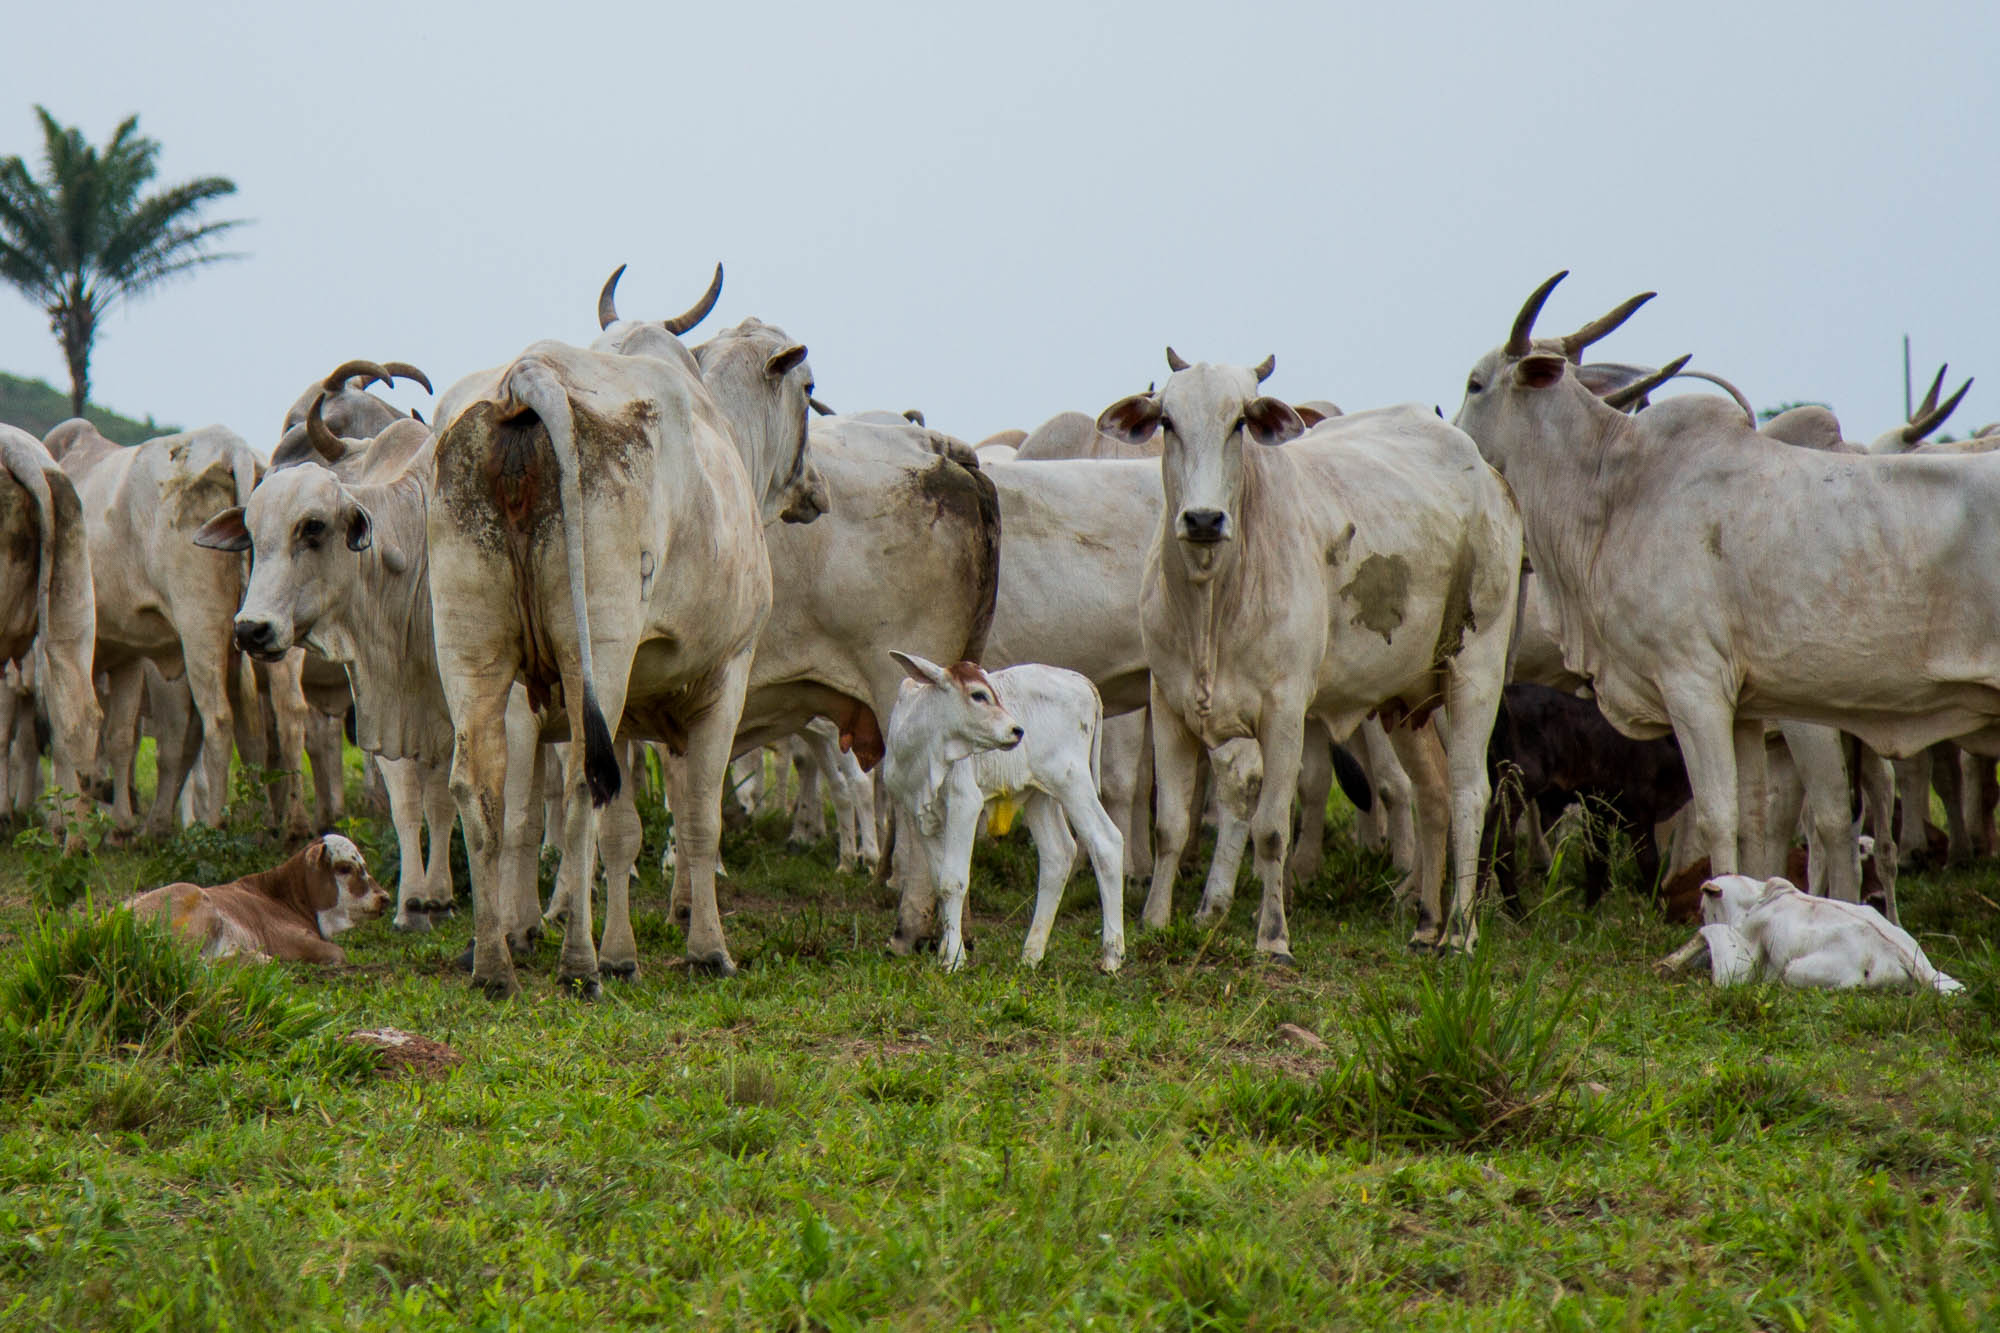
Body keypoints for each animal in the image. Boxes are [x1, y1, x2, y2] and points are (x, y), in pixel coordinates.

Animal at [880, 652, 1128, 964]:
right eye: (978, 694)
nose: (1017, 730)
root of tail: (1082, 681)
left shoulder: (965, 803)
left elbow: (953, 881)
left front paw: (952, 959)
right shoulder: (920, 816)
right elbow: (939, 882)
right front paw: (952, 950)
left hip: (1073, 783)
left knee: (1106, 841)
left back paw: (1112, 956)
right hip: (1039, 794)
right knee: (1058, 854)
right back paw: (1031, 954)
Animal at [1096, 350, 1512, 956]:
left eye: (1240, 423)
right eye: (1167, 421)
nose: (1203, 520)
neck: (1210, 603)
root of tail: (1487, 471)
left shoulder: (1286, 713)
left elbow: (1271, 829)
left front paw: (1273, 937)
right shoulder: (1168, 705)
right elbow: (1170, 823)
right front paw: (1154, 920)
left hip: (1476, 670)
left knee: (1468, 792)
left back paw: (1460, 931)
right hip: (1403, 699)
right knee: (1431, 792)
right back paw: (1424, 923)